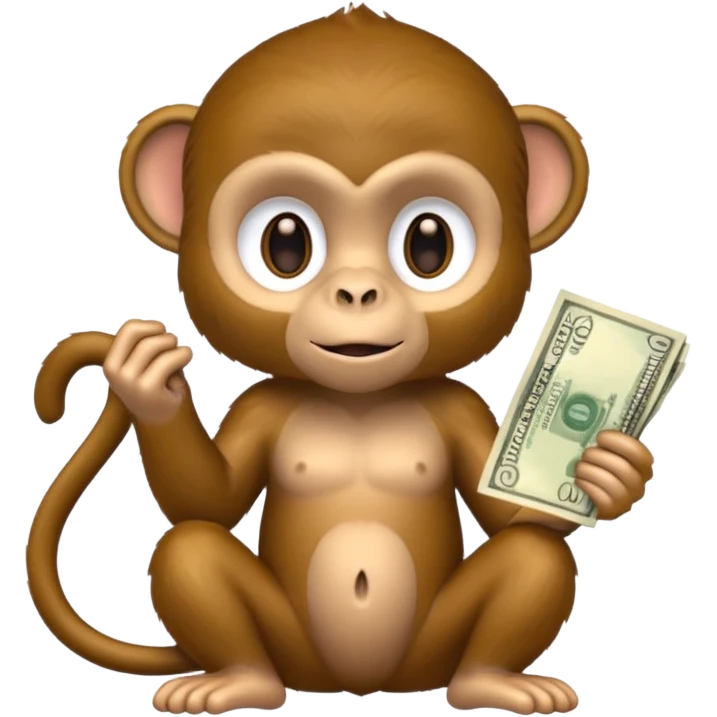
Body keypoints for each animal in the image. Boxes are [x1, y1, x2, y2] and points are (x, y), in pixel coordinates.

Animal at [26, 4, 655, 715]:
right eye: (286, 243)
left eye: (429, 244)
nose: (356, 292)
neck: (359, 399)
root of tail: (358, 685)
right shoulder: (263, 403)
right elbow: (208, 500)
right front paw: (146, 380)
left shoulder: (458, 404)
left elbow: (506, 515)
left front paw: (613, 469)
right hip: (293, 648)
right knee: (190, 548)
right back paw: (237, 680)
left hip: (430, 651)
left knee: (534, 554)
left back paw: (490, 682)